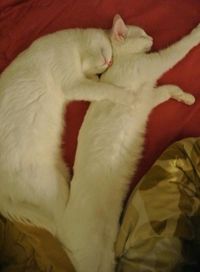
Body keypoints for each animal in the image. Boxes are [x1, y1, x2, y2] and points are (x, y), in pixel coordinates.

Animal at [0, 26, 136, 234]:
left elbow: (97, 86)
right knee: (63, 225)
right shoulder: (73, 84)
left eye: (106, 66)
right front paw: (128, 96)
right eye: (109, 53)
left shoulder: (78, 84)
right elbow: (106, 89)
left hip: (60, 172)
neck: (74, 46)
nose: (109, 62)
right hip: (51, 186)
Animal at [61, 15, 199, 272]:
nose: (152, 37)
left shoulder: (147, 98)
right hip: (95, 256)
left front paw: (185, 97)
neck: (121, 61)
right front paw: (198, 32)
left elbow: (168, 89)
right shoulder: (154, 64)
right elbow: (179, 48)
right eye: (142, 33)